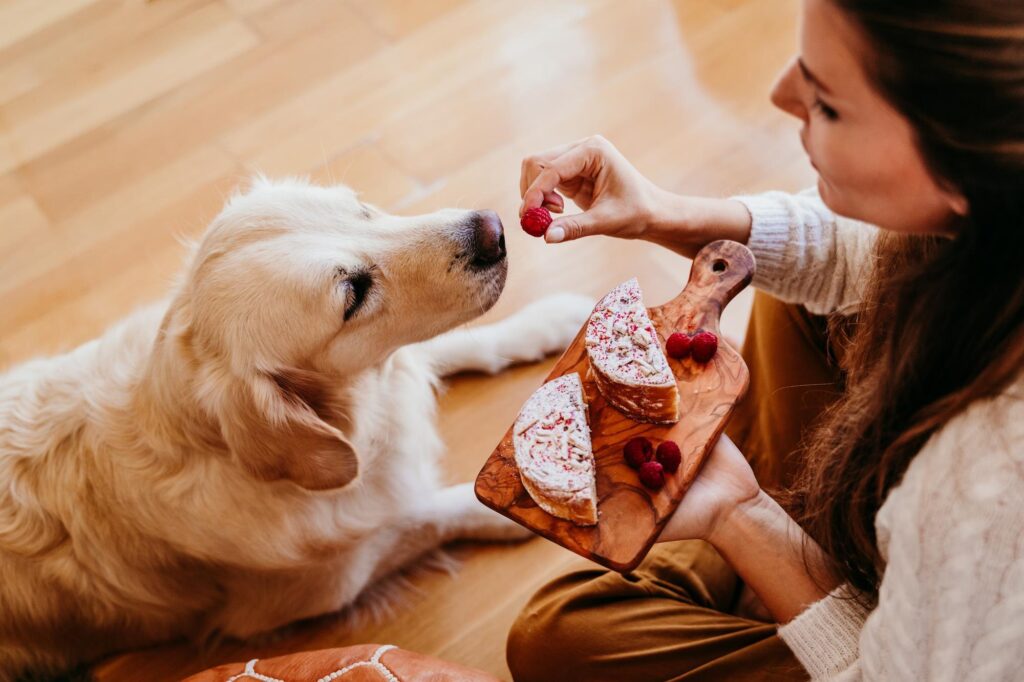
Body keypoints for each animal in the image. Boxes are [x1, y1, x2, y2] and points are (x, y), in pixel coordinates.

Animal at [0, 175, 593, 675]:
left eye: (362, 209)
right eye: (353, 294)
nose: (494, 228)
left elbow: (449, 347)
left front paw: (545, 322)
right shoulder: (330, 582)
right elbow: (429, 513)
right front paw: (506, 515)